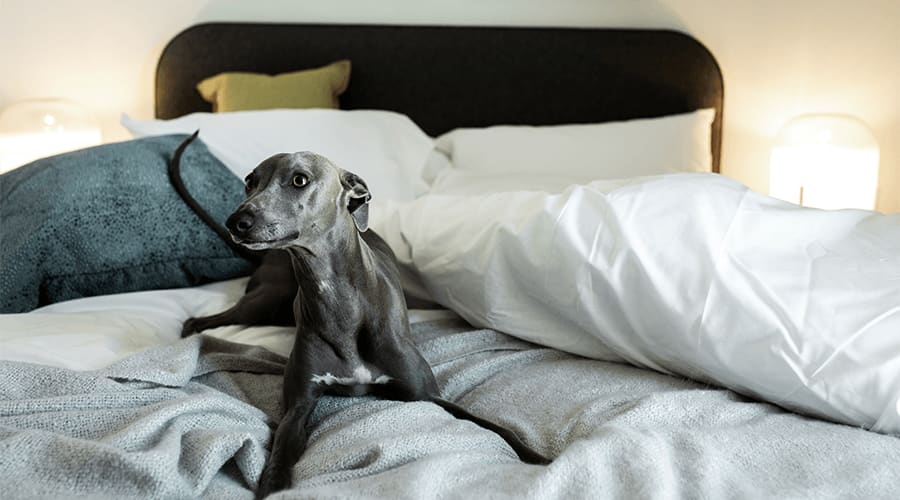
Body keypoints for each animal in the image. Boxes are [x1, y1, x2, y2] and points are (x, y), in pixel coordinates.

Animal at [175, 144, 548, 496]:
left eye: (300, 180)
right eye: (249, 181)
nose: (237, 221)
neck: (339, 302)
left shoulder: (428, 395)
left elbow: (497, 426)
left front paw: (541, 457)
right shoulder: (298, 407)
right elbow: (279, 456)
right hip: (264, 300)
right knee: (201, 321)